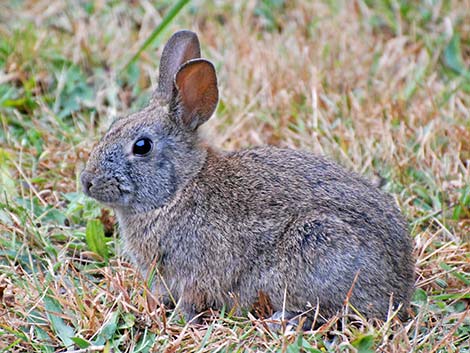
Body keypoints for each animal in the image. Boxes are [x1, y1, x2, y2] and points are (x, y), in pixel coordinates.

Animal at [81, 30, 414, 324]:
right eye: (114, 125)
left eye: (142, 146)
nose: (86, 181)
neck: (178, 190)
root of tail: (400, 287)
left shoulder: (194, 275)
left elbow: (191, 301)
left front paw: (179, 319)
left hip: (316, 244)